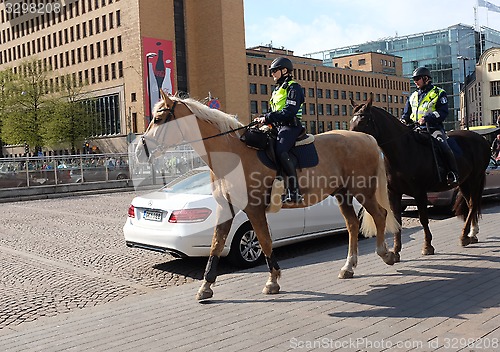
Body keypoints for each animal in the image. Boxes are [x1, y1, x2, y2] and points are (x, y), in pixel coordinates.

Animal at [350, 95, 490, 260]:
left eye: (363, 121)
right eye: (351, 121)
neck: (403, 150)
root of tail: (481, 139)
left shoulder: (419, 192)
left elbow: (423, 218)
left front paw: (427, 246)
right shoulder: (394, 193)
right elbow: (397, 219)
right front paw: (396, 250)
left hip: (475, 178)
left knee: (473, 204)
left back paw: (464, 236)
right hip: (464, 182)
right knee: (470, 205)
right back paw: (472, 234)